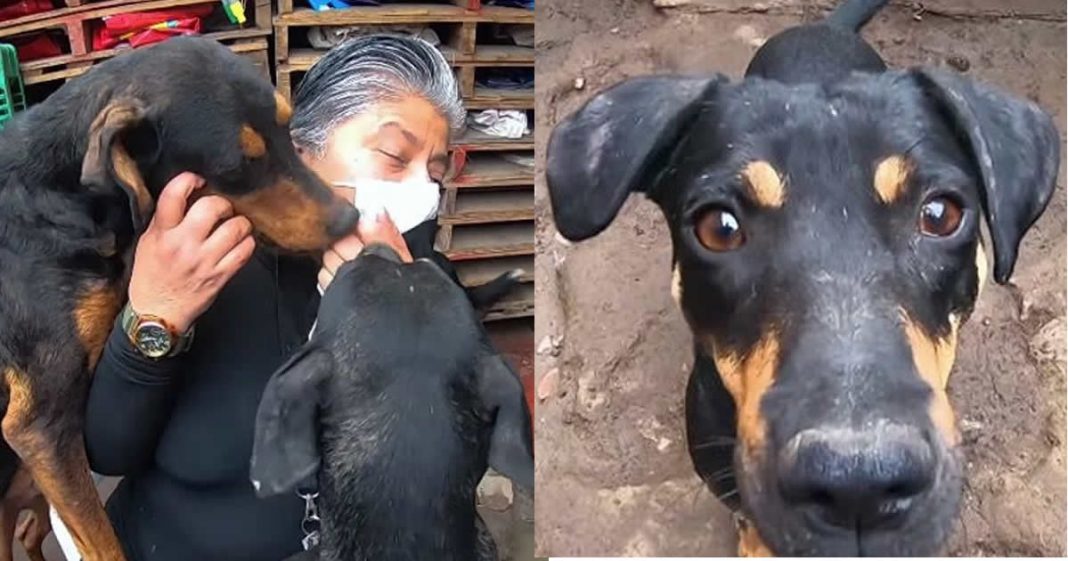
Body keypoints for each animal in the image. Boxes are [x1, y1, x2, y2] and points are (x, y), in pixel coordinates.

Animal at [0, 37, 360, 555]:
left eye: (288, 127)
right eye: (237, 167)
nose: (349, 220)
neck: (62, 195)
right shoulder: (40, 426)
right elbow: (104, 545)